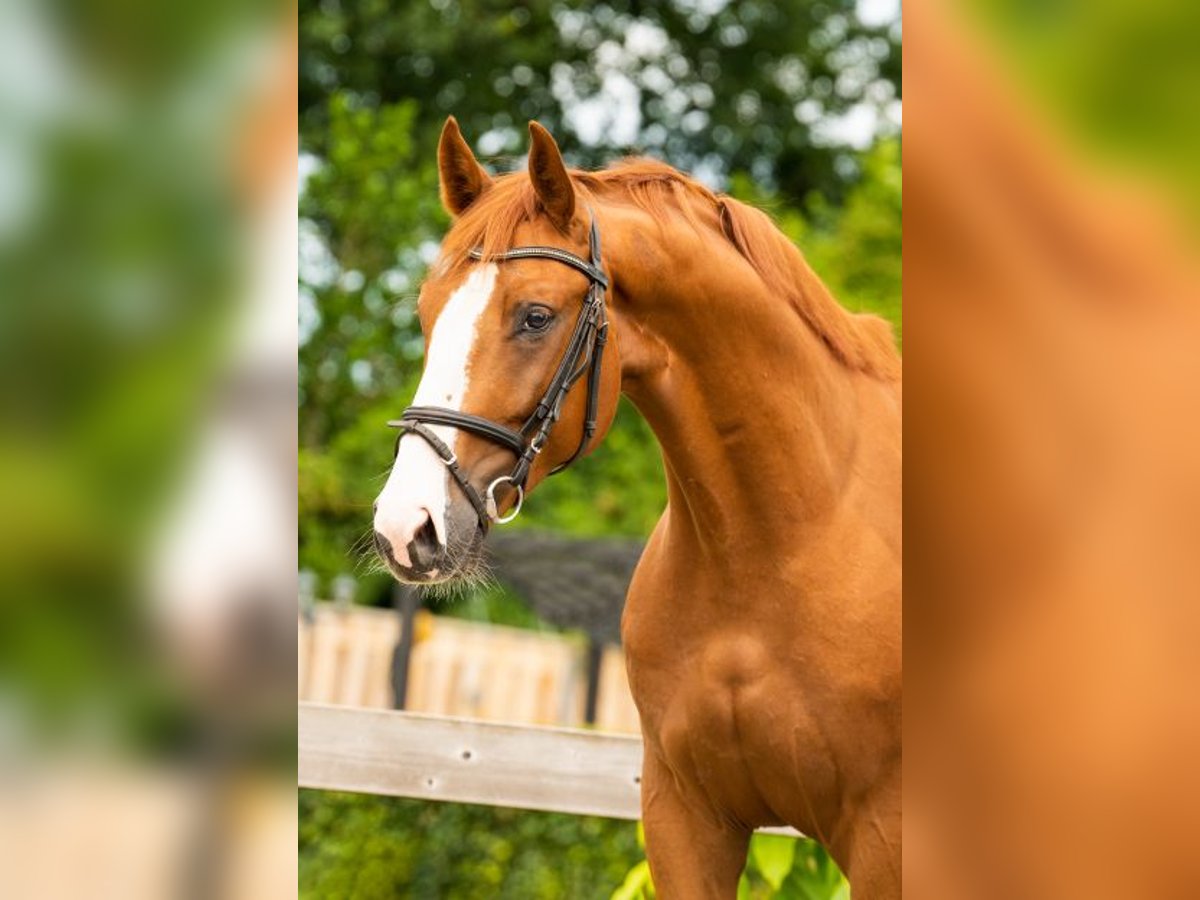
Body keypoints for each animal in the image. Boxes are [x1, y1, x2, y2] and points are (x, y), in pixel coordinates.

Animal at [374, 120, 902, 900]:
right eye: (426, 313)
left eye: (536, 316)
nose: (406, 527)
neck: (776, 543)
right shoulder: (684, 817)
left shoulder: (881, 835)